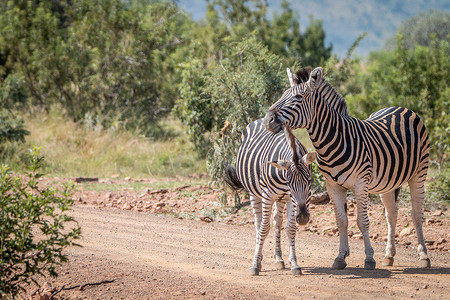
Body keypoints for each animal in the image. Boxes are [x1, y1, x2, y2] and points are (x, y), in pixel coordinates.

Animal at [225, 118, 316, 276]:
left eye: (309, 181)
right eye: (289, 183)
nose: (304, 217)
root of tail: (259, 119)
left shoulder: (290, 199)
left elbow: (290, 228)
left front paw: (294, 264)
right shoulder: (268, 195)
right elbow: (264, 228)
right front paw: (255, 264)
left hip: (280, 198)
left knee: (277, 222)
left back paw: (279, 259)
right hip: (254, 193)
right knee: (258, 223)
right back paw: (260, 256)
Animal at [264, 66, 432, 270]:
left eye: (298, 97)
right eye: (282, 95)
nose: (267, 120)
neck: (334, 141)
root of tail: (400, 107)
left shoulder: (361, 184)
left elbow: (362, 221)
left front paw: (369, 258)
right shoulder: (333, 186)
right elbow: (342, 221)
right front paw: (340, 258)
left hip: (419, 173)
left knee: (416, 214)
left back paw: (423, 256)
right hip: (388, 182)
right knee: (391, 214)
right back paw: (389, 256)